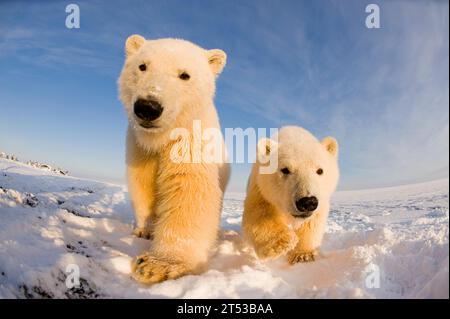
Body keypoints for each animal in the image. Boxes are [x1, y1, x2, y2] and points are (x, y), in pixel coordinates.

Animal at [117, 35, 229, 284]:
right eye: (142, 66)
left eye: (184, 75)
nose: (148, 107)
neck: (161, 139)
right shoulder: (140, 148)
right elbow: (142, 185)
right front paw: (145, 230)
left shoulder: (191, 140)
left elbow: (188, 190)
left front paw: (156, 264)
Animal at [243, 126, 338, 264]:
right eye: (285, 170)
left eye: (320, 170)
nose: (307, 202)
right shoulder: (261, 187)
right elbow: (259, 212)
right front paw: (283, 243)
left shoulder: (321, 199)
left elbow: (313, 221)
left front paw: (303, 255)